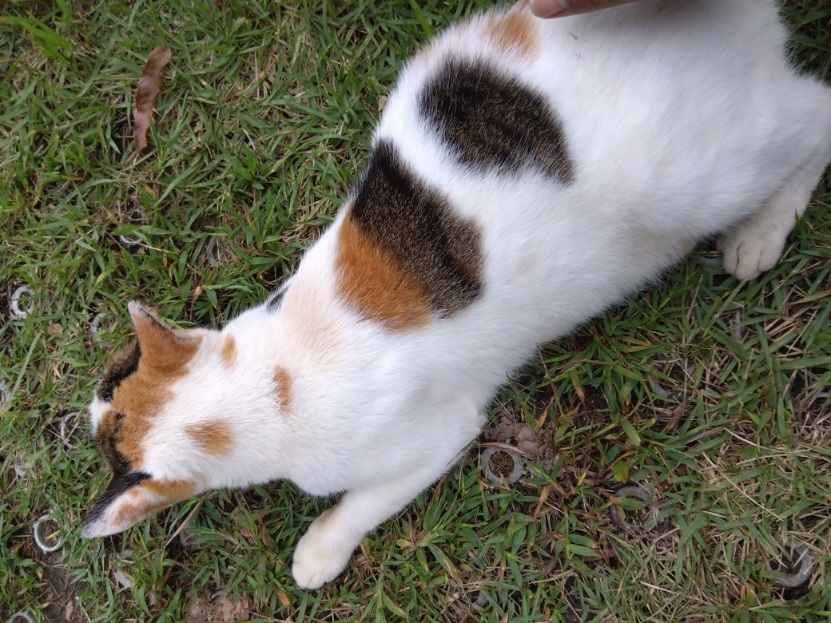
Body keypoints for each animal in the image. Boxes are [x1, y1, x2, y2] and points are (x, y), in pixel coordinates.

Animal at [82, 0, 831, 589]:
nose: (88, 405)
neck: (271, 373)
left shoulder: (440, 433)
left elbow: (364, 501)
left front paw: (319, 550)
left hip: (703, 176)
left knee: (815, 110)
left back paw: (759, 232)